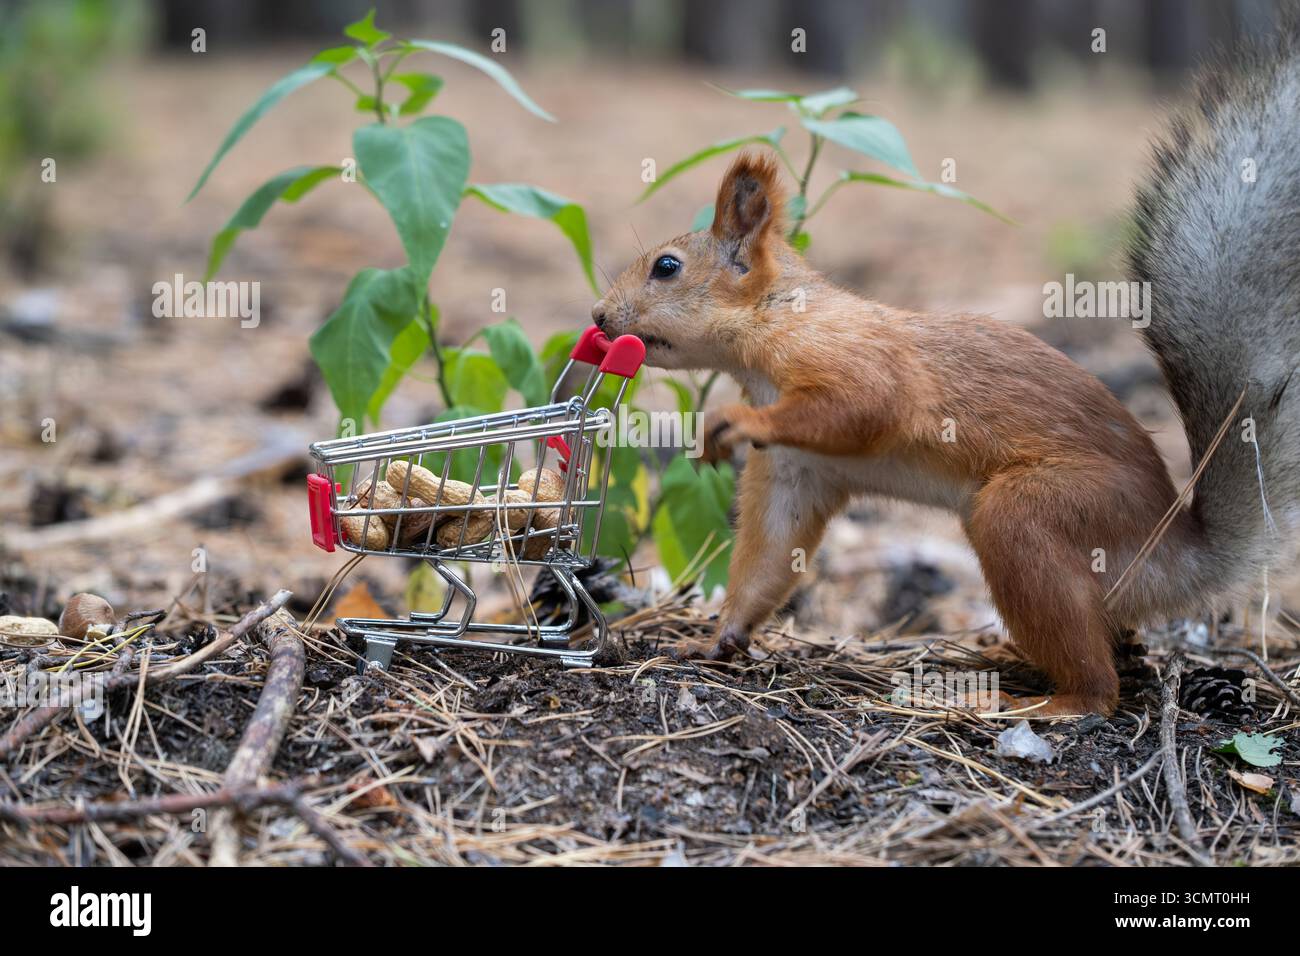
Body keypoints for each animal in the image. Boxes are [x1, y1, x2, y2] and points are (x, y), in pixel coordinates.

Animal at [593, 30, 1300, 717]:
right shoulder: (798, 468)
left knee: (1097, 686)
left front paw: (729, 421)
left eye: (666, 267)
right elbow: (770, 551)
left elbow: (867, 402)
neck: (773, 320)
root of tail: (1171, 553)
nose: (599, 317)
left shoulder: (847, 356)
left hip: (1040, 513)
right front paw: (720, 638)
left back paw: (1047, 701)